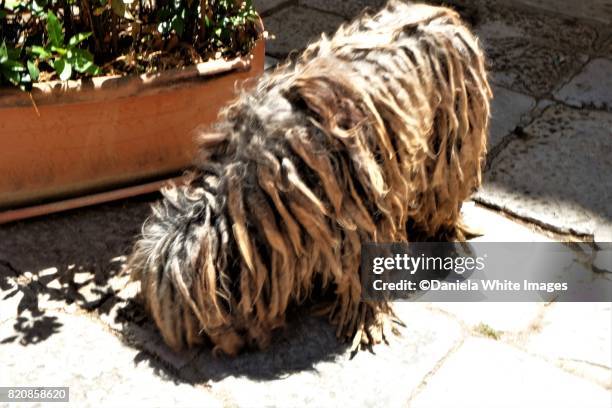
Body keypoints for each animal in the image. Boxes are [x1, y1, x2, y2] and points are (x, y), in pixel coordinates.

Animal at [128, 0, 492, 356]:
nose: (227, 349)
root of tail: (442, 13)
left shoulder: (358, 207)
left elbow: (363, 264)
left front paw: (366, 318)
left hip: (451, 136)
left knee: (443, 191)